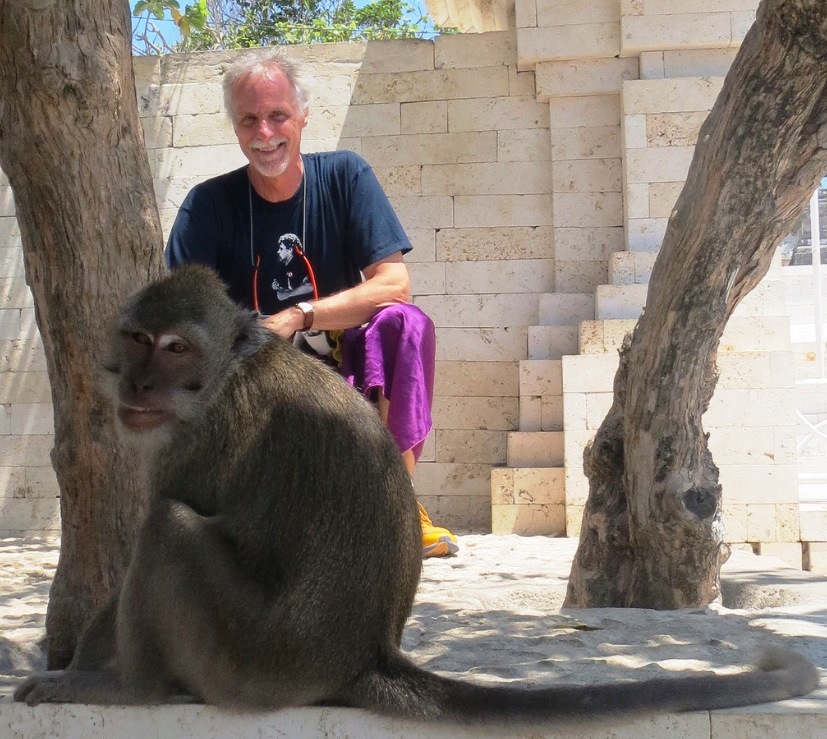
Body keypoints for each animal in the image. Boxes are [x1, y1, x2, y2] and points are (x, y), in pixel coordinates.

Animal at [14, 264, 820, 721]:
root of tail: (360, 658)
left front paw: (83, 671)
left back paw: (136, 690)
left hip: (248, 660)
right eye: (137, 340)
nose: (140, 384)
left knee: (170, 527)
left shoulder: (198, 439)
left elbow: (154, 529)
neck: (225, 376)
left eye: (176, 347)